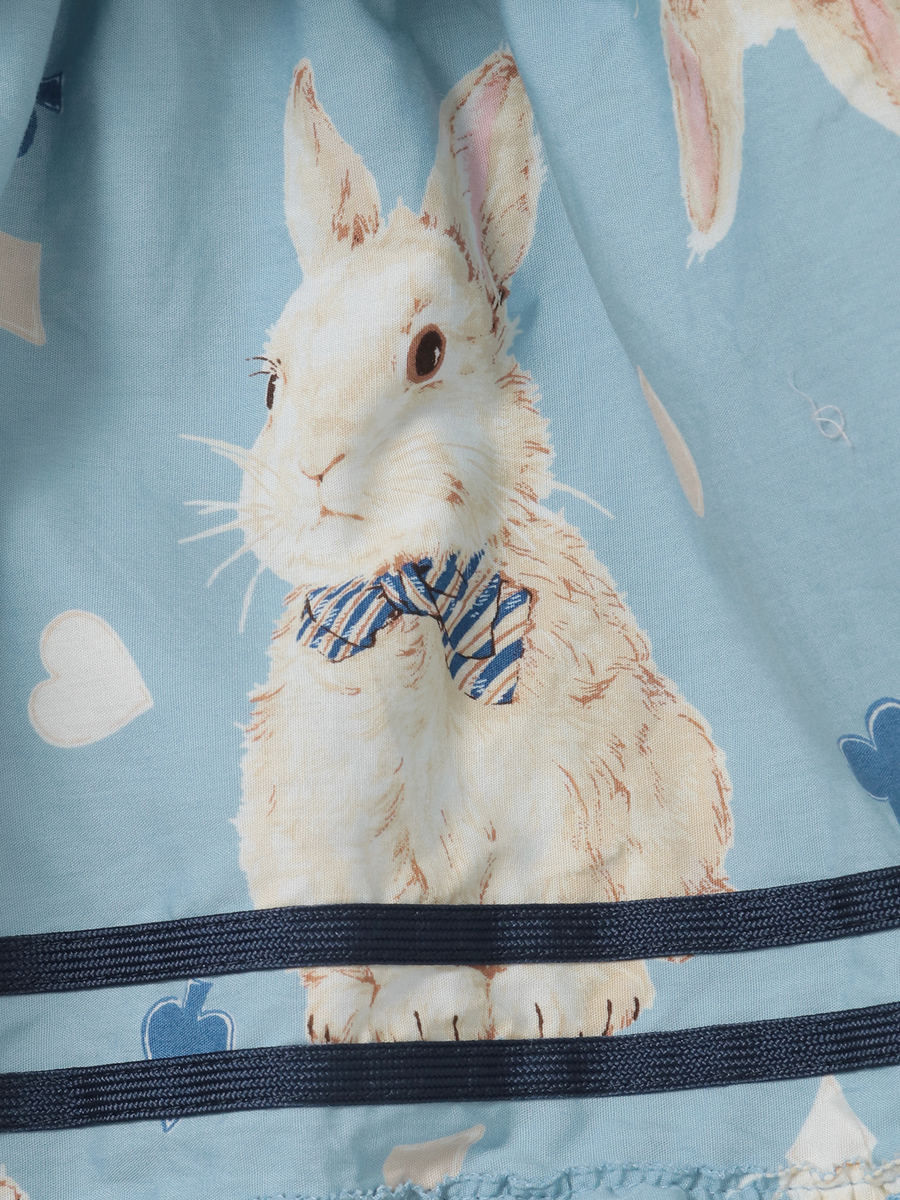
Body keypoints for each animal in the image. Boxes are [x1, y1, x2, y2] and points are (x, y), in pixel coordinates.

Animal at [194, 51, 733, 1042]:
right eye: (273, 385)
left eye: (429, 353)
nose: (315, 474)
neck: (416, 601)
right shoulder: (356, 826)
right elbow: (401, 931)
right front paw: (429, 1019)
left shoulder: (562, 798)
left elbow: (553, 900)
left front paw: (567, 1008)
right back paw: (341, 1015)